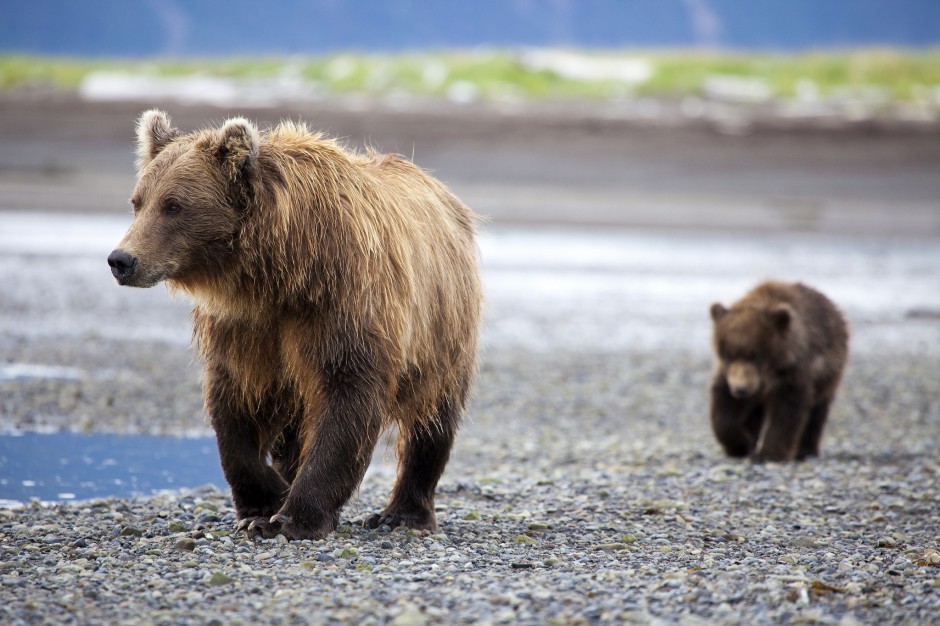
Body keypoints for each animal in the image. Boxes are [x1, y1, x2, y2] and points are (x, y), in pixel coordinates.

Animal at [110, 109, 484, 540]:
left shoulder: (343, 303)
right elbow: (234, 404)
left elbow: (346, 396)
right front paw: (264, 504)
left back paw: (403, 513)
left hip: (442, 329)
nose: (122, 259)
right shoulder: (246, 327)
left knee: (433, 418)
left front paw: (296, 516)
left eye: (174, 205)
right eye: (138, 202)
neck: (279, 272)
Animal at [708, 280, 848, 460]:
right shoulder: (729, 374)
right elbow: (724, 407)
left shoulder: (792, 371)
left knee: (817, 411)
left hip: (828, 373)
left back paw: (805, 451)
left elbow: (787, 410)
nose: (741, 389)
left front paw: (768, 454)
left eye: (755, 355)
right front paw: (742, 444)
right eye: (727, 355)